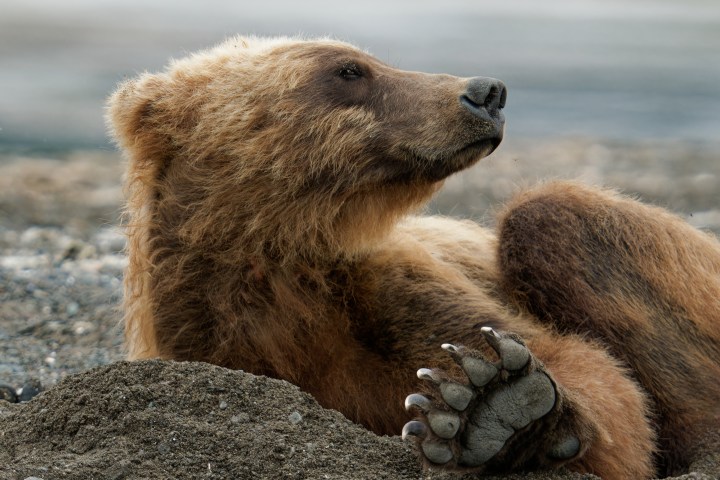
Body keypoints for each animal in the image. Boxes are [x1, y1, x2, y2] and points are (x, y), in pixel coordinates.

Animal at [107, 36, 720, 479]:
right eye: (349, 70)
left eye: (369, 58)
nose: (485, 91)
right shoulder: (209, 334)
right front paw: (489, 413)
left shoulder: (387, 287)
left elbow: (581, 372)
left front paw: (492, 405)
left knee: (548, 215)